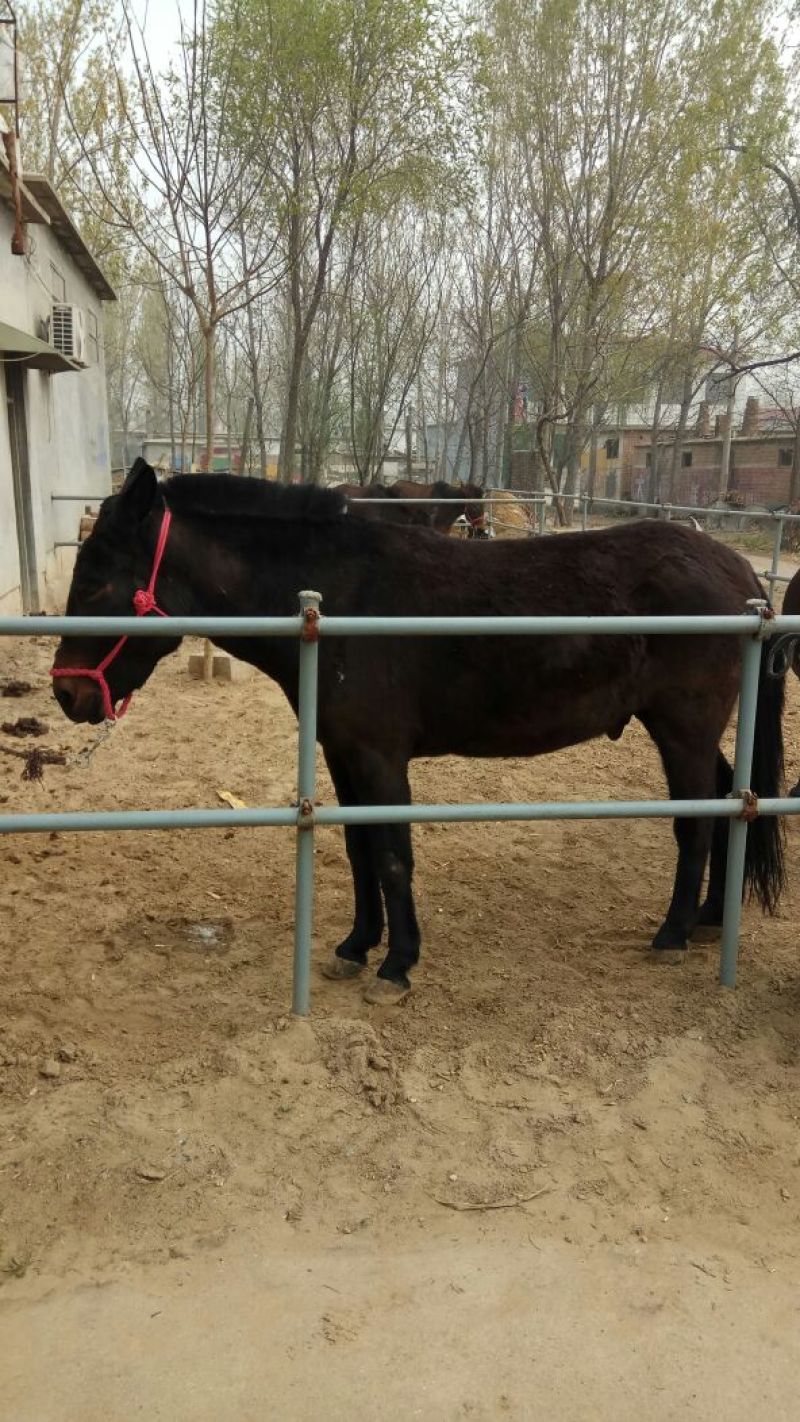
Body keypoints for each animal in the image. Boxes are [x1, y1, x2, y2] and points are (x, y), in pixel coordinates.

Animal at [51, 459, 786, 1006]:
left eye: (94, 587)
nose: (66, 693)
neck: (341, 601)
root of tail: (741, 573)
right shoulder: (343, 755)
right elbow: (359, 850)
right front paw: (355, 947)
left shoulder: (381, 759)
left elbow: (393, 855)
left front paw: (397, 965)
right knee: (727, 803)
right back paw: (710, 920)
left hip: (682, 729)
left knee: (696, 822)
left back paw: (672, 934)